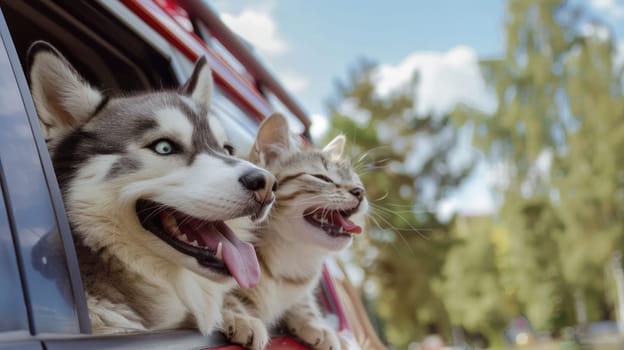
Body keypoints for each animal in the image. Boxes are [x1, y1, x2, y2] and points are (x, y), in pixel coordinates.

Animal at [221, 114, 368, 350]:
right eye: (322, 178)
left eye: (356, 182)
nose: (360, 192)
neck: (289, 254)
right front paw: (240, 315)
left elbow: (304, 302)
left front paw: (314, 323)